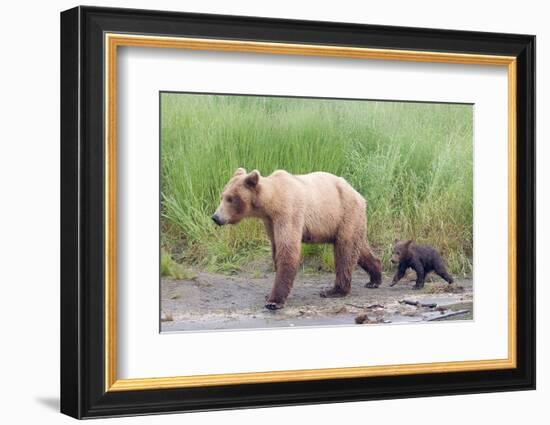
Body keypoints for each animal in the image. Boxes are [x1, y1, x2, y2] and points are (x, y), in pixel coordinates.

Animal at [212, 167, 384, 310]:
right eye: (222, 196)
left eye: (230, 198)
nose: (215, 217)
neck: (270, 203)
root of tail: (358, 194)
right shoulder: (270, 222)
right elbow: (276, 249)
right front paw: (270, 295)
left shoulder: (288, 212)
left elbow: (288, 249)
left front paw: (273, 301)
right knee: (359, 248)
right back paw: (374, 278)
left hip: (345, 213)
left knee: (345, 251)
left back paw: (334, 290)